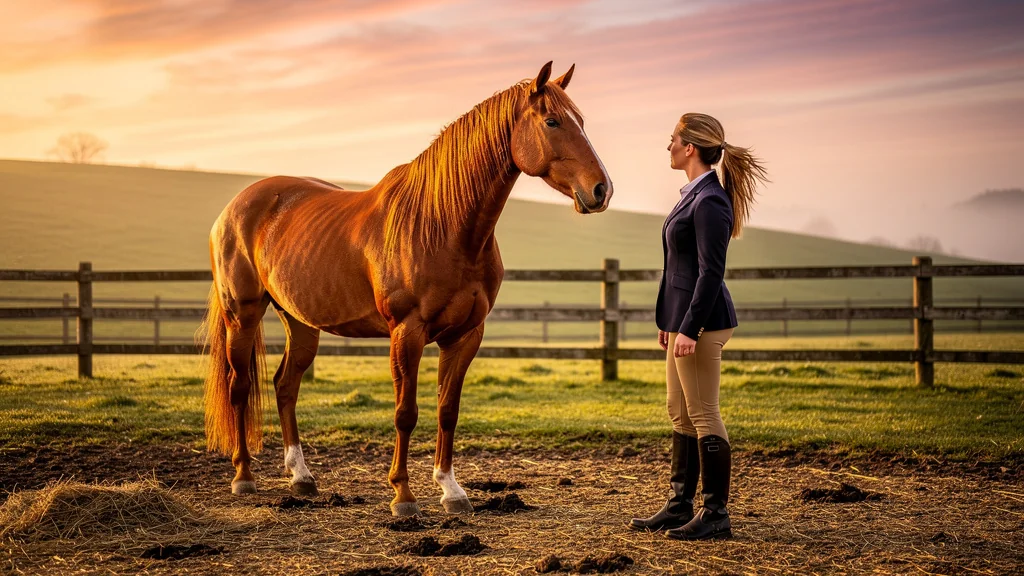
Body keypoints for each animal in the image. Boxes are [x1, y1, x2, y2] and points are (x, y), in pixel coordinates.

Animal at [201, 61, 612, 516]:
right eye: (552, 121)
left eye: (581, 121)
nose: (601, 190)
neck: (443, 225)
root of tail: (234, 208)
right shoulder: (407, 332)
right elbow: (405, 412)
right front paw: (403, 495)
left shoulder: (465, 336)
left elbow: (447, 410)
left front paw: (451, 490)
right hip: (242, 314)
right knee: (239, 387)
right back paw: (243, 476)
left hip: (300, 321)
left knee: (285, 385)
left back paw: (302, 477)